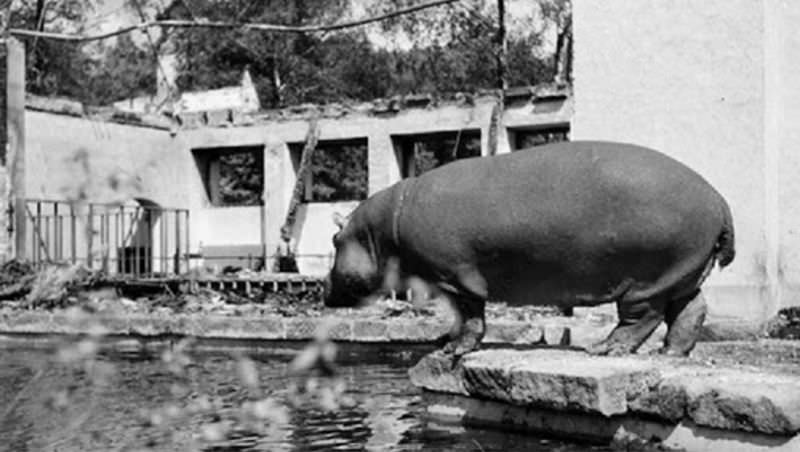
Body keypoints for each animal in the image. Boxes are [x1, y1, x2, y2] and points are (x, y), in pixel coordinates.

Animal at [323, 141, 735, 357]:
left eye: (334, 241)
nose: (323, 289)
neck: (379, 230)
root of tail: (718, 198)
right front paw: (445, 345)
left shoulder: (455, 277)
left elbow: (469, 316)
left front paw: (452, 351)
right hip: (683, 272)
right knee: (690, 310)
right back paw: (670, 353)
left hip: (646, 281)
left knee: (642, 318)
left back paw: (603, 349)